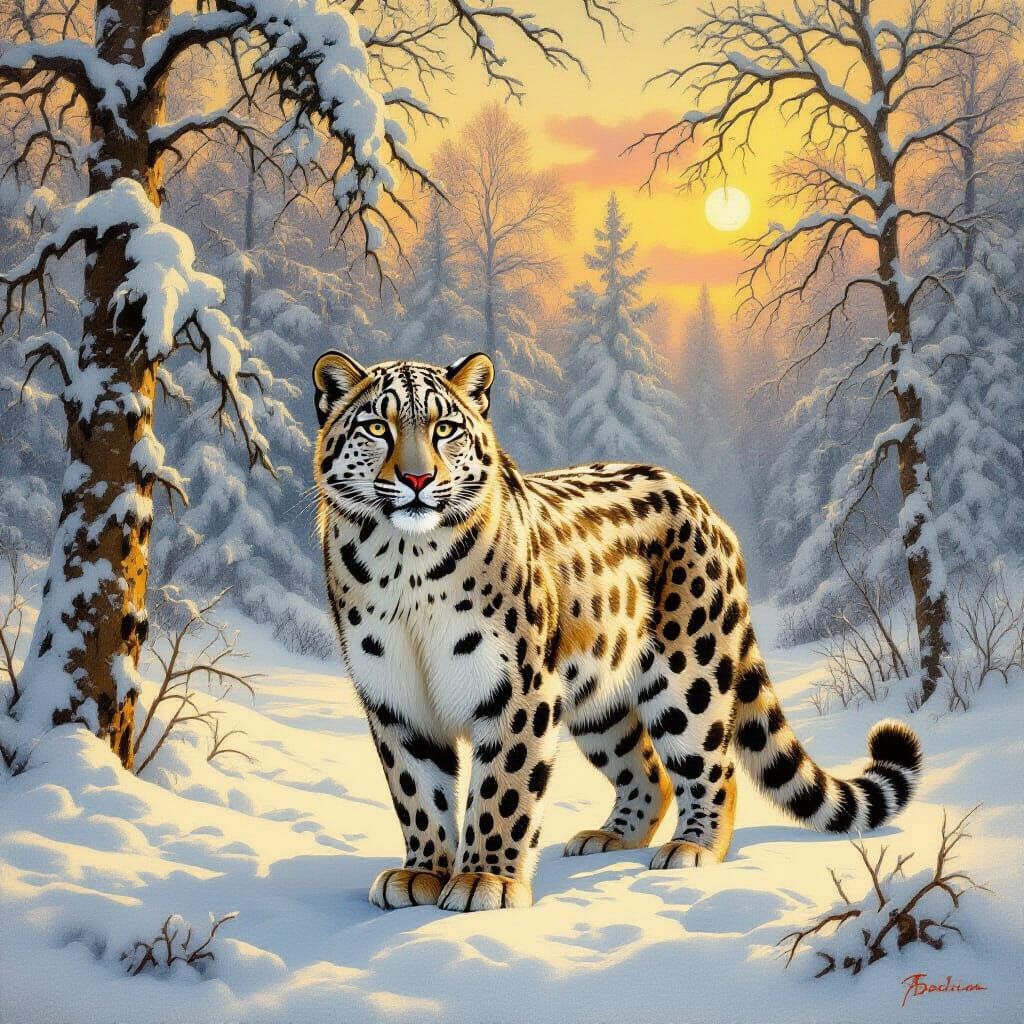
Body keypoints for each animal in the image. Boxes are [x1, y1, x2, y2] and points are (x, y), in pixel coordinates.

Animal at [313, 350, 922, 913]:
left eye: (446, 428)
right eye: (377, 427)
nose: (418, 479)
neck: (405, 567)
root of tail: (705, 505)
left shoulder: (517, 690)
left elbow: (502, 790)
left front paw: (485, 881)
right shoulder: (395, 699)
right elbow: (418, 791)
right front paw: (421, 873)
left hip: (688, 679)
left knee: (715, 766)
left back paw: (692, 849)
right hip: (598, 702)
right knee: (647, 772)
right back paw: (609, 837)